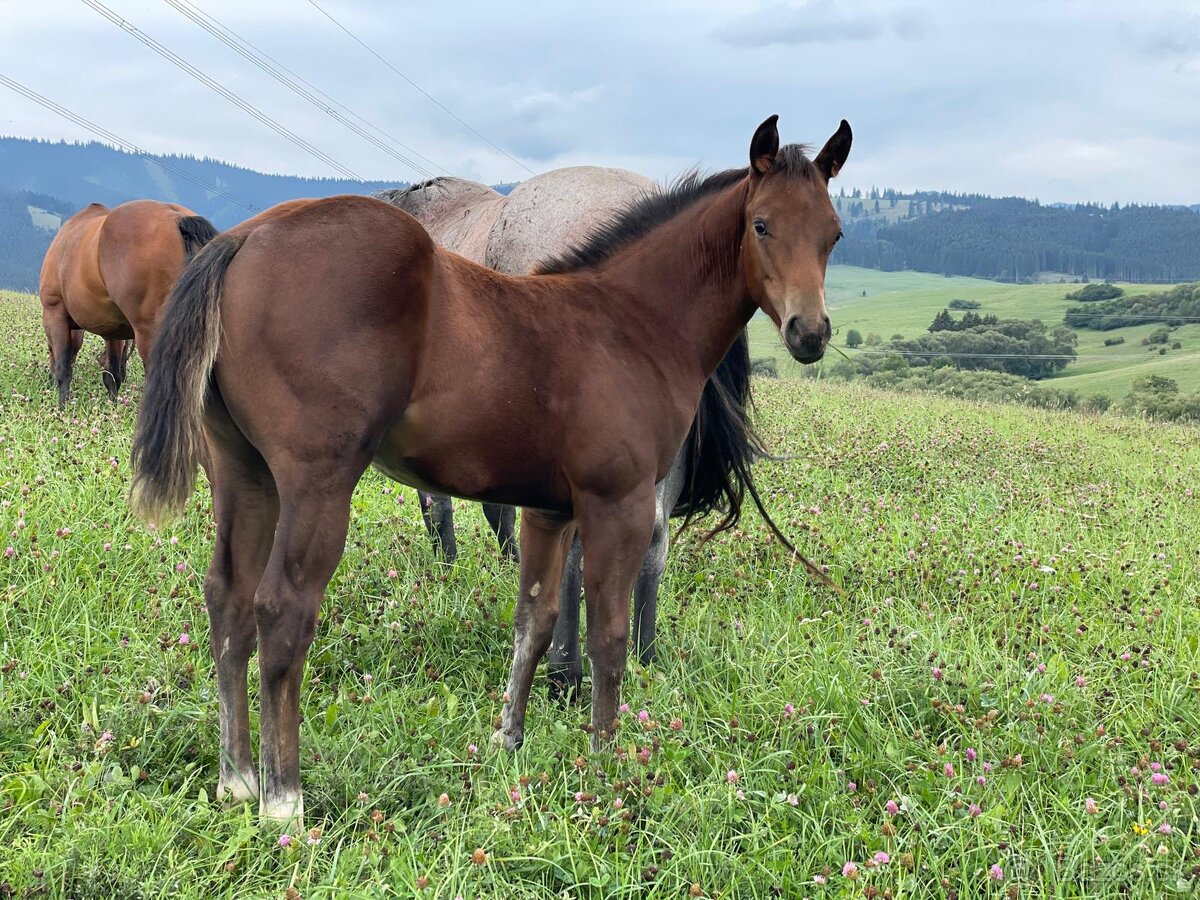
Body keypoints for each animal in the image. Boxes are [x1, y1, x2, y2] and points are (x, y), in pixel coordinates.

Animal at [38, 199, 218, 406]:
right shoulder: (114, 331)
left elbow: (64, 369)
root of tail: (177, 218)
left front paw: (62, 407)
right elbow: (113, 375)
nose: (48, 381)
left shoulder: (54, 311)